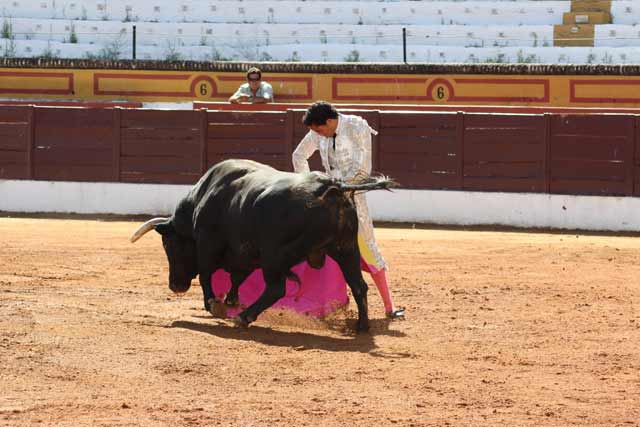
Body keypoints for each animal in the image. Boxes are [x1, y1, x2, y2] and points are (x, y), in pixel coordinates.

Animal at [131, 159, 396, 332]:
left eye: (169, 245)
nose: (175, 285)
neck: (202, 198)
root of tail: (332, 188)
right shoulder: (245, 253)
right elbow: (237, 277)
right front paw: (230, 300)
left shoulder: (208, 242)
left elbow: (206, 274)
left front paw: (214, 305)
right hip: (346, 248)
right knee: (359, 285)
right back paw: (362, 326)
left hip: (275, 255)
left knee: (276, 289)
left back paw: (244, 317)